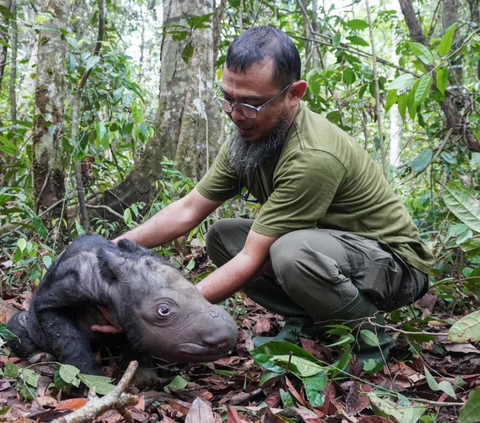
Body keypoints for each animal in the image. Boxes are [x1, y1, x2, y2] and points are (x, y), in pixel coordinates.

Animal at [7, 235, 238, 378]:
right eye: (163, 310)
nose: (227, 335)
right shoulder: (51, 299)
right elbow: (67, 337)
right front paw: (89, 380)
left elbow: (133, 338)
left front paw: (144, 377)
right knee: (15, 327)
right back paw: (39, 357)